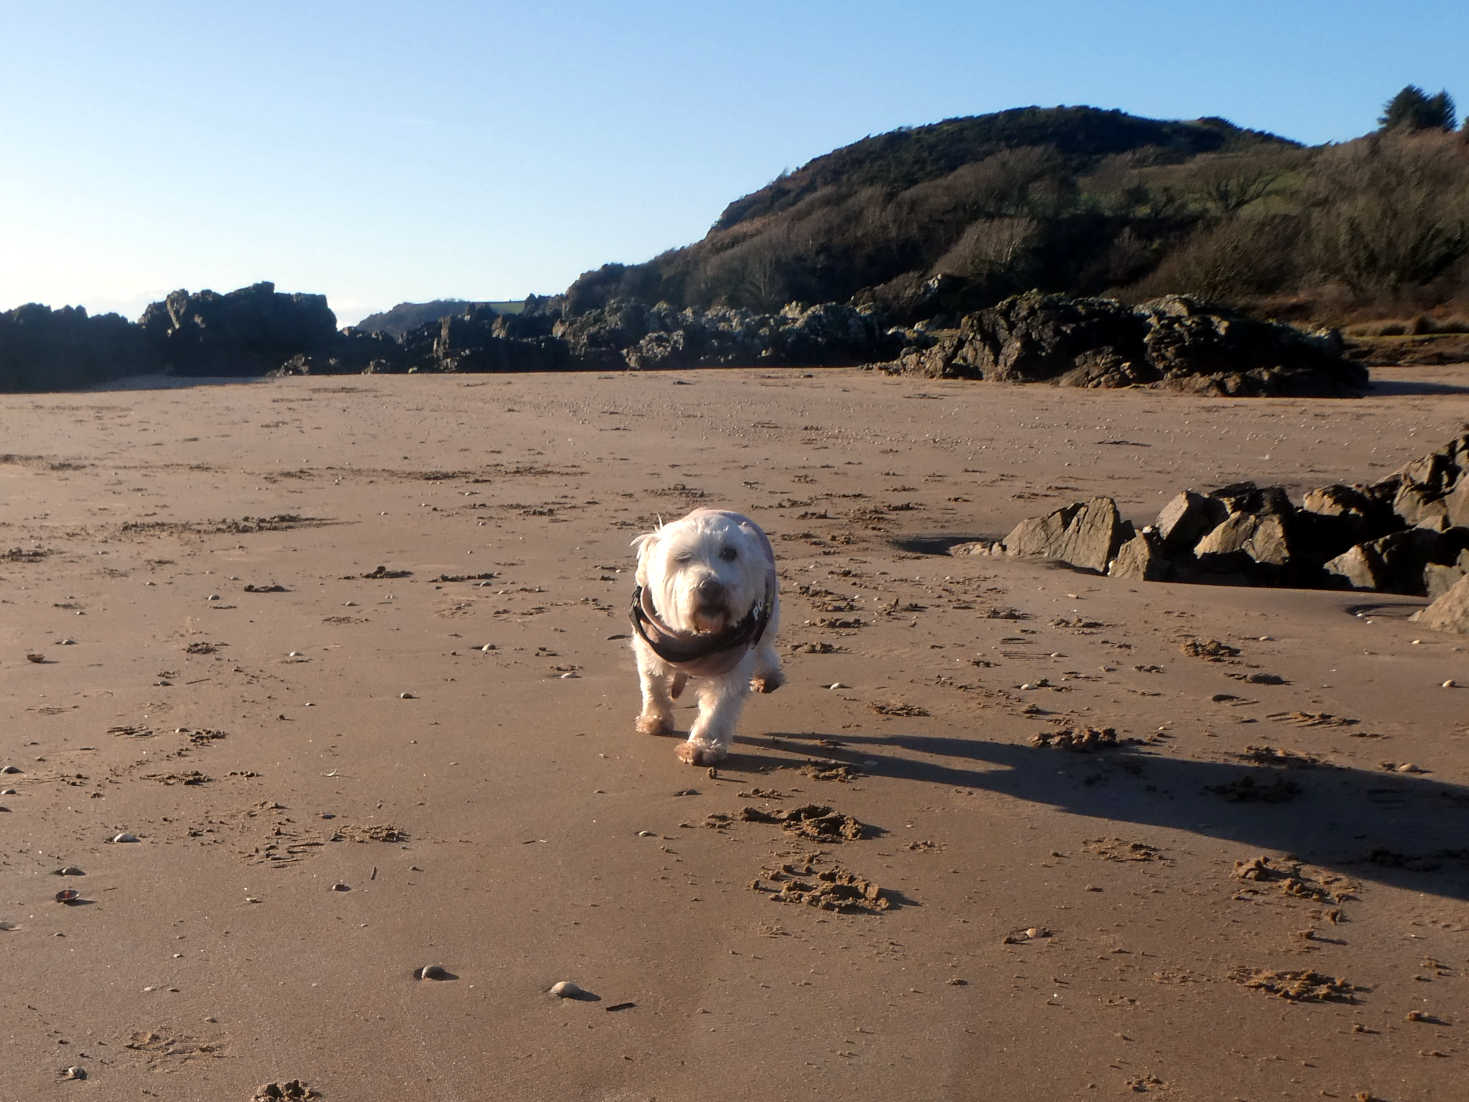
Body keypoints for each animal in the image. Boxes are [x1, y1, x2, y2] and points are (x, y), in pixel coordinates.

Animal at [634, 511, 787, 764]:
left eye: (730, 553)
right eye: (683, 557)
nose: (711, 587)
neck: (696, 637)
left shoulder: (731, 667)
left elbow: (716, 708)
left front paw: (701, 746)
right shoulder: (648, 649)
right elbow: (652, 687)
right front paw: (655, 721)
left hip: (769, 612)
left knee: (765, 647)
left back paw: (768, 677)